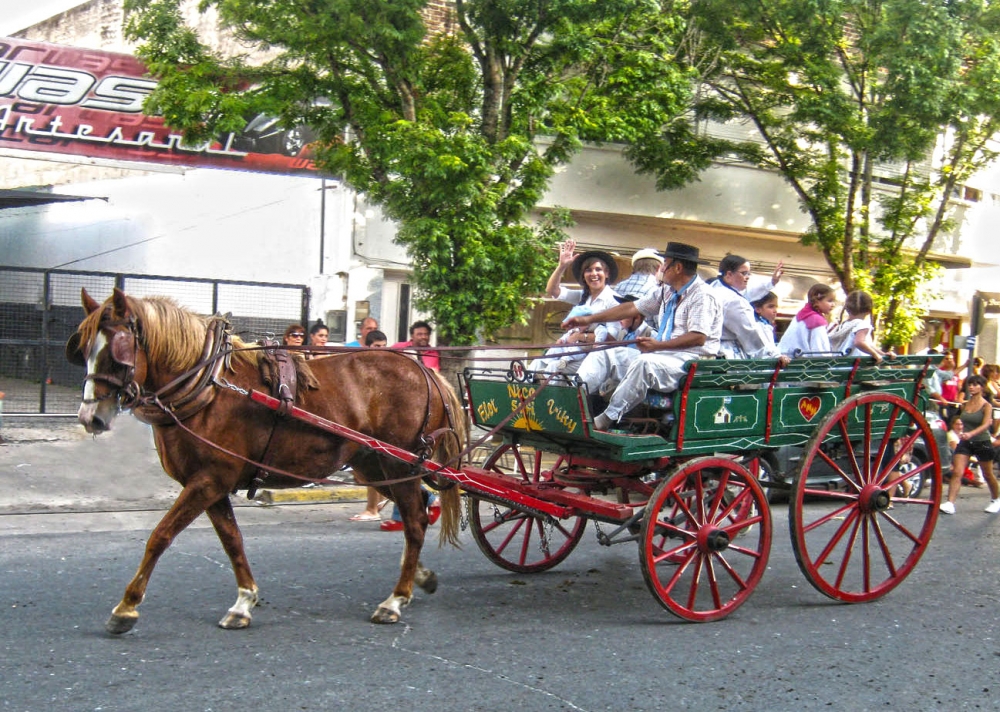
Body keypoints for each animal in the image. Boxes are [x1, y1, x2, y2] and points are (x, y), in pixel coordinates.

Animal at [68, 286, 466, 632]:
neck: (208, 387)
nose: (91, 417)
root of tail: (425, 372)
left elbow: (160, 535)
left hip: (399, 463)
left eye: (117, 354)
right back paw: (418, 577)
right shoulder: (212, 484)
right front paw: (244, 602)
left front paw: (126, 607)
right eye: (83, 349)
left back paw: (395, 599)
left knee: (415, 521)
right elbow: (232, 539)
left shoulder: (208, 481)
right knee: (417, 510)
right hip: (375, 465)